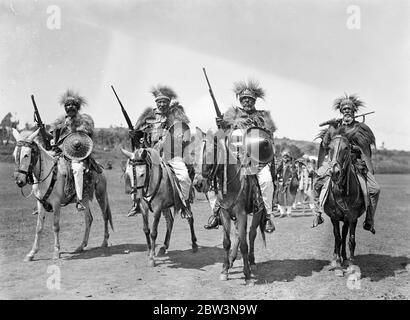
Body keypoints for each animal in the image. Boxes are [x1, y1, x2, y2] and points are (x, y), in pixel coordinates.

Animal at [12, 129, 113, 262]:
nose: (19, 181)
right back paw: (81, 246)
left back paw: (104, 241)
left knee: (104, 216)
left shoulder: (56, 204)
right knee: (88, 219)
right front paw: (32, 253)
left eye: (26, 155)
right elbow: (39, 228)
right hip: (85, 199)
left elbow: (55, 226)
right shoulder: (41, 203)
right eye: (14, 155)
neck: (46, 176)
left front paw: (56, 252)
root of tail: (100, 167)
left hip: (100, 194)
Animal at [193, 128, 270, 284]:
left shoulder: (241, 214)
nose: (198, 184)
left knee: (251, 234)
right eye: (195, 153)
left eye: (209, 154)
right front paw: (224, 270)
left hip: (257, 213)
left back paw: (252, 262)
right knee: (238, 235)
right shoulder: (225, 213)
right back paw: (231, 260)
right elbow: (226, 242)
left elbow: (245, 244)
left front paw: (247, 275)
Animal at [320, 134, 366, 276]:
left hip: (346, 219)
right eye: (329, 148)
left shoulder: (352, 217)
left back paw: (344, 258)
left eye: (346, 148)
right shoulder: (334, 216)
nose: (335, 172)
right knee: (338, 237)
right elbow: (337, 238)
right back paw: (336, 258)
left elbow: (351, 240)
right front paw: (337, 264)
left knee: (345, 234)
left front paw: (350, 265)